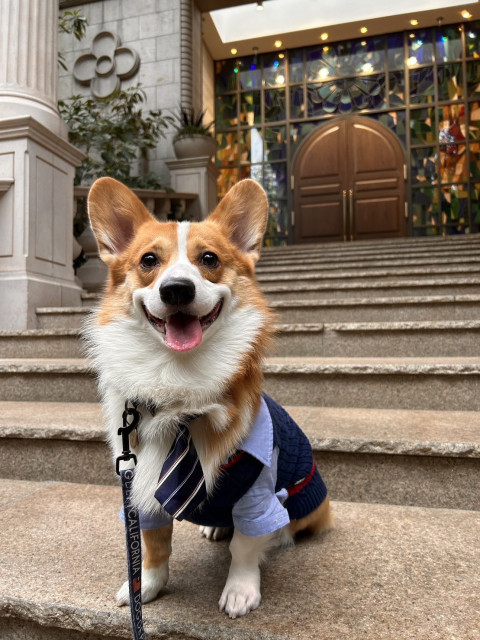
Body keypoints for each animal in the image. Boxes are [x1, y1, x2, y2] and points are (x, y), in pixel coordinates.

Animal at [86, 178, 332, 616]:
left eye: (209, 258)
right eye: (148, 260)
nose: (176, 290)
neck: (179, 377)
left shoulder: (257, 486)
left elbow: (246, 546)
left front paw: (241, 591)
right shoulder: (140, 484)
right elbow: (153, 546)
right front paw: (145, 587)